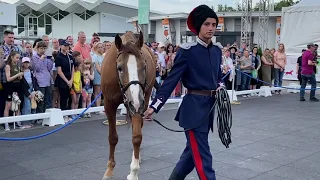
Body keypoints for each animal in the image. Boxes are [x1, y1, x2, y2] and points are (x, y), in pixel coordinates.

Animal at [100, 31, 155, 180]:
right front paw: (109, 170)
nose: (135, 102)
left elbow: (136, 137)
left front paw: (134, 172)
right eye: (119, 68)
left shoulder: (137, 104)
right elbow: (112, 137)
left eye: (144, 66)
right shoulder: (109, 105)